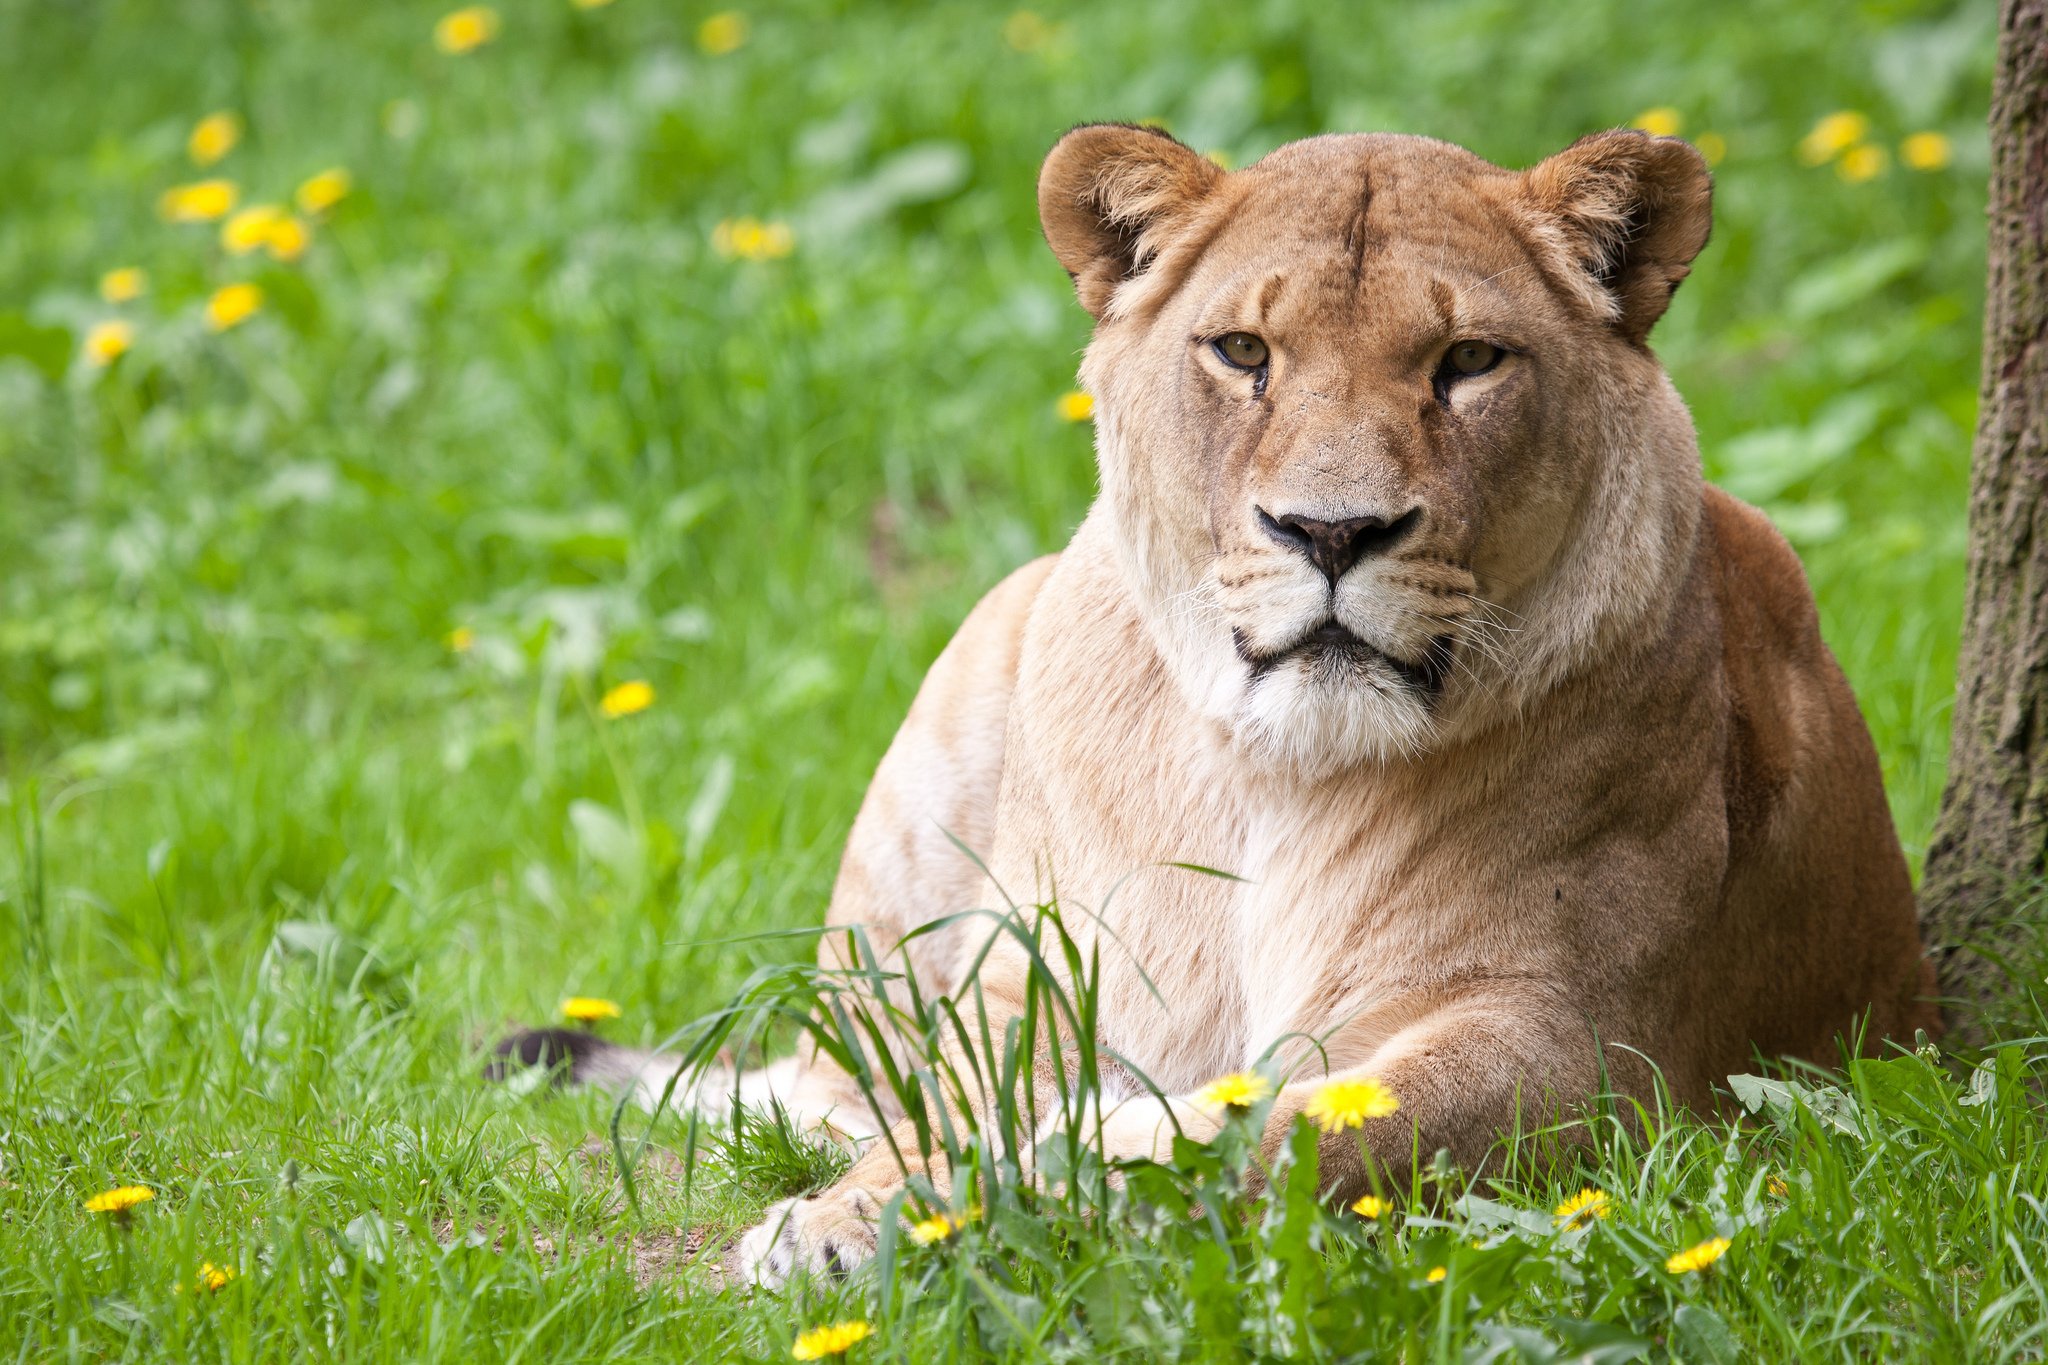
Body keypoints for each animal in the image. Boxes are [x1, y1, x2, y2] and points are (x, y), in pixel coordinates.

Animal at [497, 124, 1939, 1285]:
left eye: (1469, 359)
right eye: (1244, 351)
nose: (1332, 530)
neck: (1273, 773)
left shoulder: (1584, 1044)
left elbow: (1302, 1128)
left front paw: (1079, 1162)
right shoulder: (1039, 978)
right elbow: (963, 1115)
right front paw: (849, 1223)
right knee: (838, 1080)